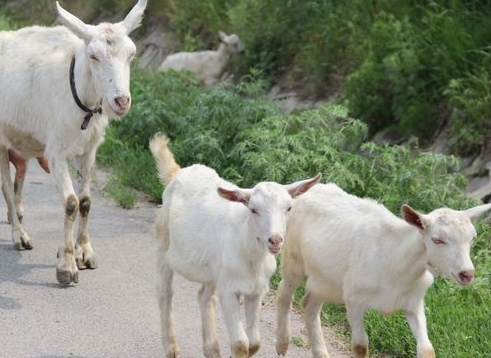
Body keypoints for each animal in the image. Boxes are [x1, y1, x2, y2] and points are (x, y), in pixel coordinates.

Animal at [0, 0, 148, 286]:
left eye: (132, 54)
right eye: (93, 56)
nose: (121, 101)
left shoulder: (88, 152)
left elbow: (86, 202)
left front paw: (85, 252)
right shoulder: (56, 151)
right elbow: (71, 203)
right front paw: (67, 265)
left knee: (18, 179)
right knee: (5, 188)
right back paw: (19, 235)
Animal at [148, 134, 320, 358]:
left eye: (289, 208)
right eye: (253, 209)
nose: (275, 240)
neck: (250, 253)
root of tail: (176, 174)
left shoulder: (256, 291)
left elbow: (254, 342)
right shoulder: (229, 291)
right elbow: (241, 344)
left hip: (213, 270)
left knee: (204, 297)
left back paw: (212, 350)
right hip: (163, 242)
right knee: (165, 292)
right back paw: (171, 347)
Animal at [274, 183, 491, 358]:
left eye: (472, 238)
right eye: (437, 240)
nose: (467, 274)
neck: (397, 265)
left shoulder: (414, 303)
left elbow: (427, 349)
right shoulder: (354, 300)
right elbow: (360, 346)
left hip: (327, 280)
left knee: (309, 303)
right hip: (293, 255)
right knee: (284, 292)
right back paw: (282, 344)